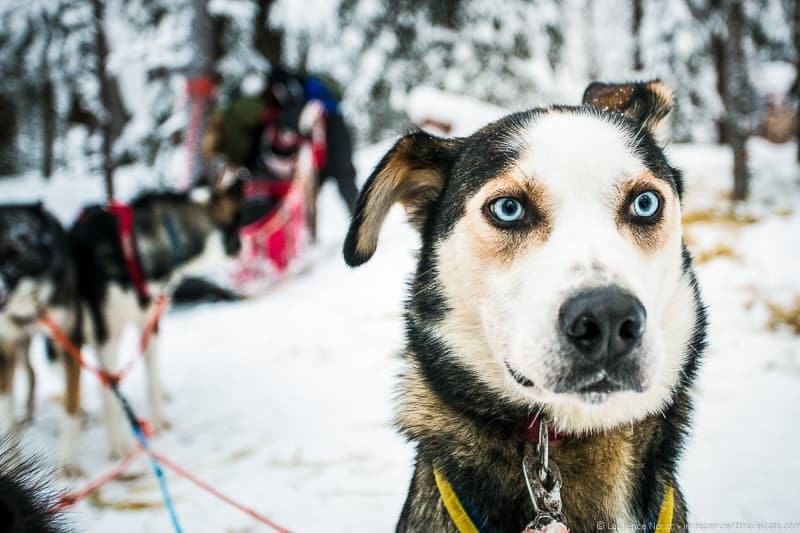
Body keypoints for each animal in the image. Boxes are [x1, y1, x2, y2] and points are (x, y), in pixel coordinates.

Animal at [0, 204, 82, 470]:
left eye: (15, 253)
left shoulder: (68, 340)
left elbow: (71, 404)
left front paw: (68, 461)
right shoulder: (5, 349)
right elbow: (5, 415)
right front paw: (11, 462)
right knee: (32, 374)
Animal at [70, 183, 242, 458]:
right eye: (237, 225)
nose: (242, 246)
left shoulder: (149, 324)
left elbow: (150, 378)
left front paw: (159, 420)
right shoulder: (106, 335)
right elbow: (111, 391)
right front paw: (117, 442)